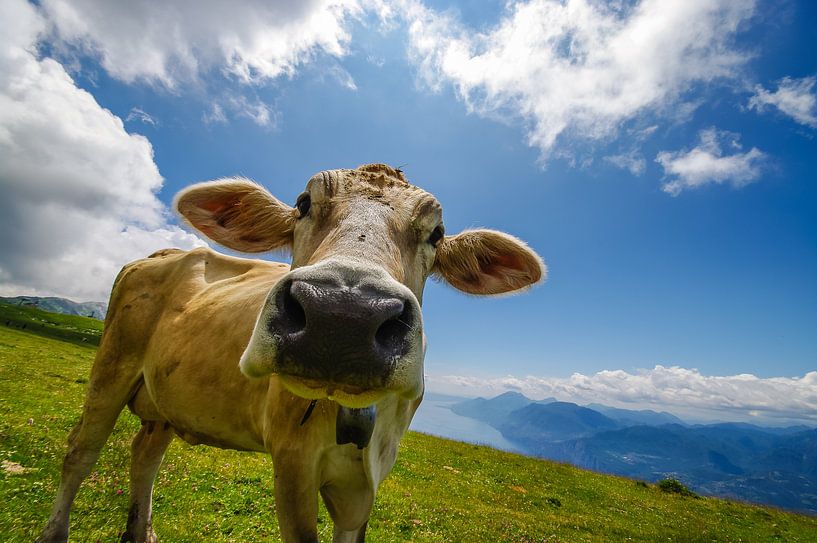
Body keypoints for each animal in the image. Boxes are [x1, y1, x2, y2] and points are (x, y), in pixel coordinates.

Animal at [37, 164, 545, 543]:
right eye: (302, 204)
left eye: (436, 233)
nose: (343, 314)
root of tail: (163, 253)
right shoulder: (292, 460)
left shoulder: (369, 481)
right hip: (112, 364)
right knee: (80, 451)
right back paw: (55, 532)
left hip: (165, 399)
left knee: (144, 455)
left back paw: (141, 532)